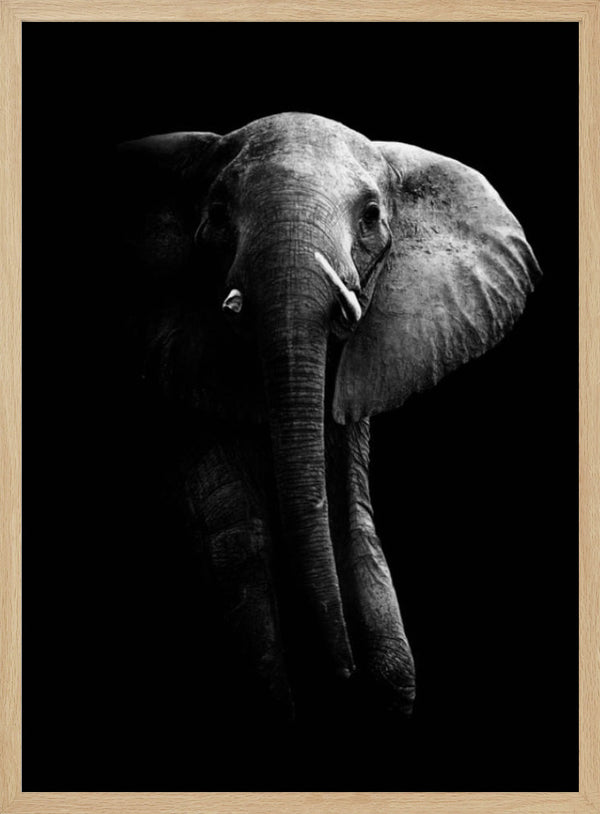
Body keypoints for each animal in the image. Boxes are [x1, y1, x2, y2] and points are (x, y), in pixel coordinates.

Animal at [117, 112, 541, 724]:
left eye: (370, 217)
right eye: (216, 213)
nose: (343, 676)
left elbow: (348, 512)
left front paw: (387, 689)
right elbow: (233, 529)